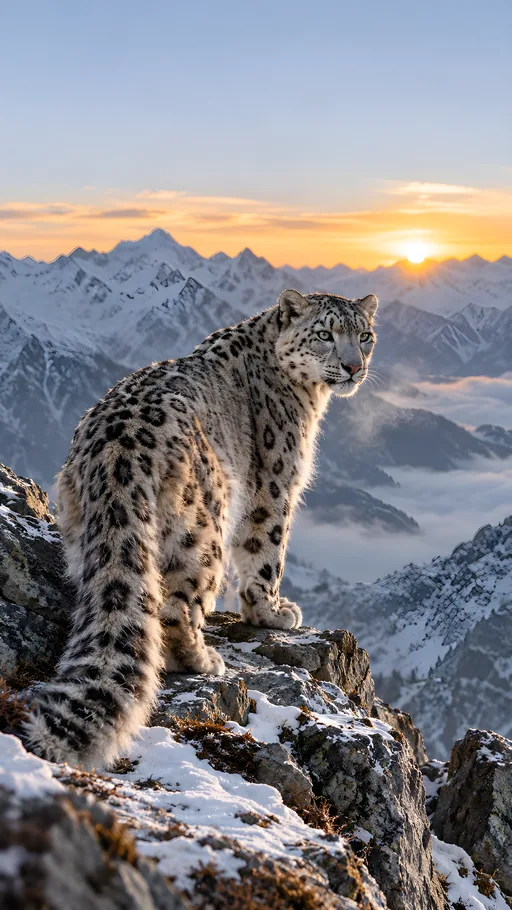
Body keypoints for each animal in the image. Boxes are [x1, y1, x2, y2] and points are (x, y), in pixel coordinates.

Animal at [25, 288, 378, 767]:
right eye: (325, 334)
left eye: (365, 336)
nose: (353, 366)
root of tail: (115, 452)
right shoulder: (276, 486)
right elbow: (268, 553)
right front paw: (272, 612)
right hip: (206, 526)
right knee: (176, 608)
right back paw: (203, 659)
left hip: (84, 527)